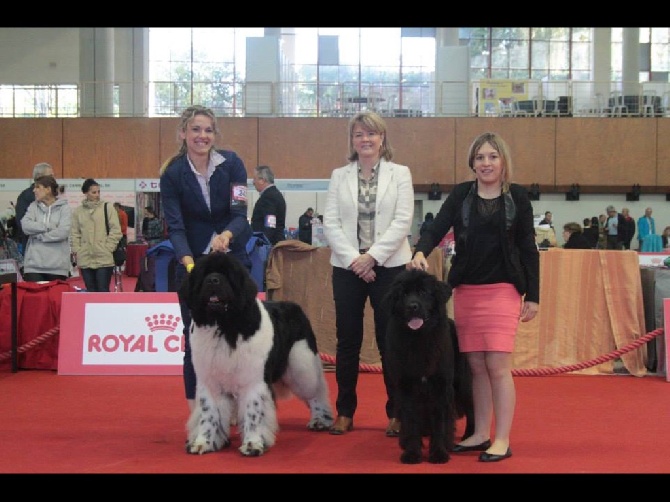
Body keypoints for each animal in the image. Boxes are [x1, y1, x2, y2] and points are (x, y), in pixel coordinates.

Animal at [180, 250, 334, 454]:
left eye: (228, 275)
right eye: (204, 273)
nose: (213, 280)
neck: (225, 327)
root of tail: (295, 306)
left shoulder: (253, 380)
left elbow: (253, 413)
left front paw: (252, 444)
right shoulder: (210, 381)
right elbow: (209, 414)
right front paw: (203, 442)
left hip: (302, 366)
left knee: (316, 391)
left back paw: (320, 420)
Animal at [384, 268, 478, 464]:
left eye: (423, 292)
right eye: (403, 294)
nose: (412, 306)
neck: (419, 338)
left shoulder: (441, 386)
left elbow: (440, 423)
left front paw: (439, 453)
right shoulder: (406, 386)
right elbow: (411, 421)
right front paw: (412, 453)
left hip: (463, 382)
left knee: (472, 408)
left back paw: (469, 438)